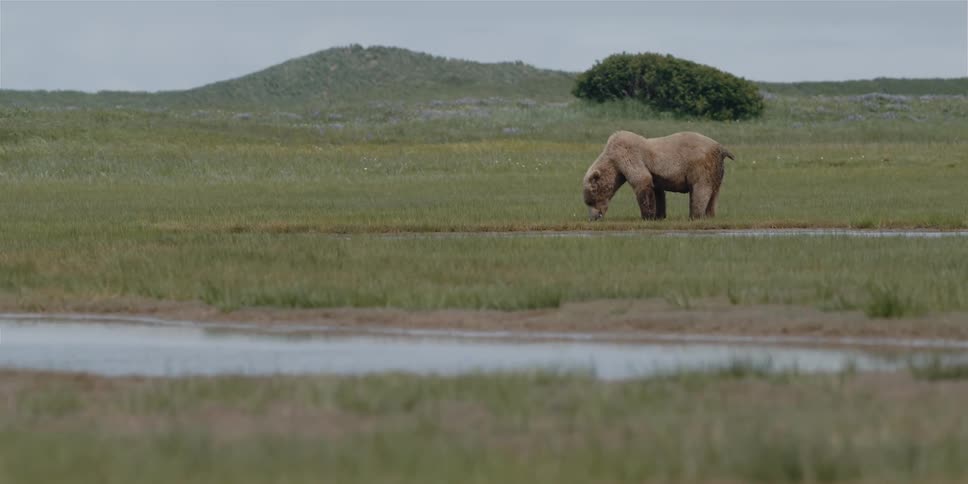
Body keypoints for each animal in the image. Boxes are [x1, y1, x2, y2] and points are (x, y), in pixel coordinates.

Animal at [582, 131, 734, 221]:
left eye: (589, 201)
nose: (593, 218)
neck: (612, 159)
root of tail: (720, 147)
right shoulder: (655, 173)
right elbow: (657, 191)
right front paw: (659, 215)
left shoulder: (628, 154)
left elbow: (641, 181)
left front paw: (647, 216)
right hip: (716, 170)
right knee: (714, 193)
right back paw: (710, 215)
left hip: (700, 166)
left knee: (700, 190)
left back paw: (695, 215)